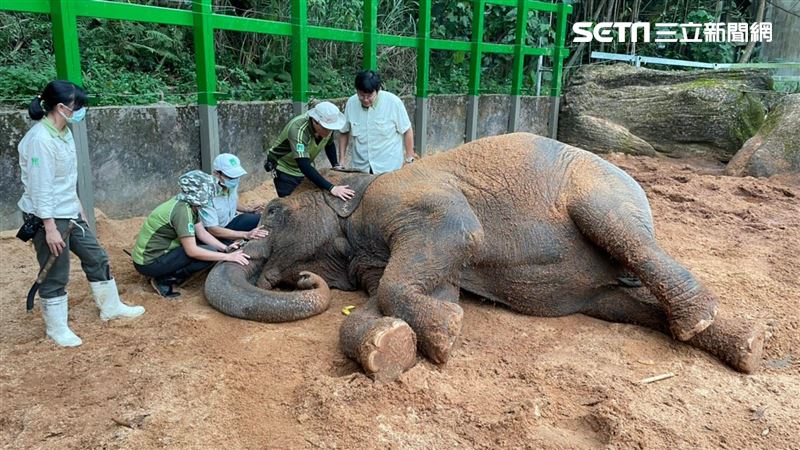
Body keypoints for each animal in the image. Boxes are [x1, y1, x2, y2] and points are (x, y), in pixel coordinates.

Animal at [204, 133, 765, 382]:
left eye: (275, 210)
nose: (299, 279)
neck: (356, 188)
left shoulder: (413, 201)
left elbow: (454, 240)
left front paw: (446, 336)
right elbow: (418, 286)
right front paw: (391, 346)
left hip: (604, 191)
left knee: (619, 230)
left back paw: (701, 321)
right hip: (601, 291)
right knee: (622, 306)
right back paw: (744, 346)